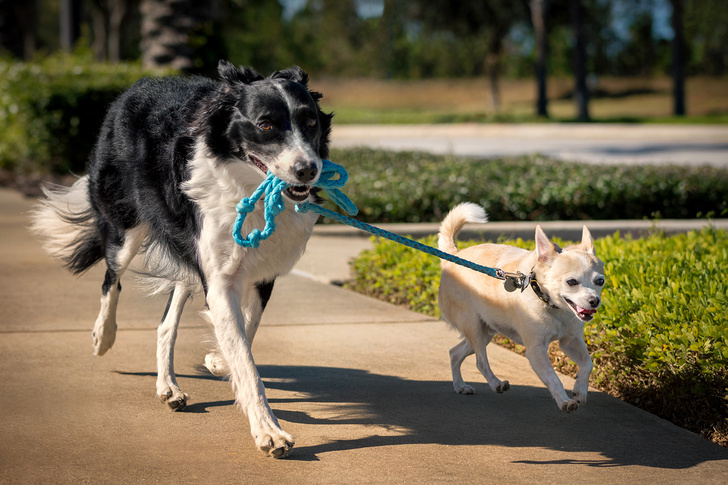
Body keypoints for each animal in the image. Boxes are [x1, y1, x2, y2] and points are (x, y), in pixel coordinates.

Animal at [30, 60, 332, 458]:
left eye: (310, 122)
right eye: (266, 124)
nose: (308, 170)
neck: (247, 184)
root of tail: (137, 86)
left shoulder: (262, 270)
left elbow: (246, 331)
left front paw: (219, 359)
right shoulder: (217, 277)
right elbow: (247, 363)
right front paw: (268, 431)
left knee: (165, 324)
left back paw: (167, 387)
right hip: (127, 225)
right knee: (111, 279)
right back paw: (104, 336)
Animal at [438, 202, 604, 410]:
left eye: (600, 281)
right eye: (571, 282)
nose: (594, 301)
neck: (553, 307)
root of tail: (454, 255)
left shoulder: (570, 341)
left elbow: (588, 364)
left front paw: (579, 390)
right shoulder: (536, 350)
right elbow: (554, 378)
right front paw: (565, 401)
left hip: (485, 332)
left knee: (455, 353)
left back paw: (460, 386)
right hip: (473, 326)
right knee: (480, 362)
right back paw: (496, 383)